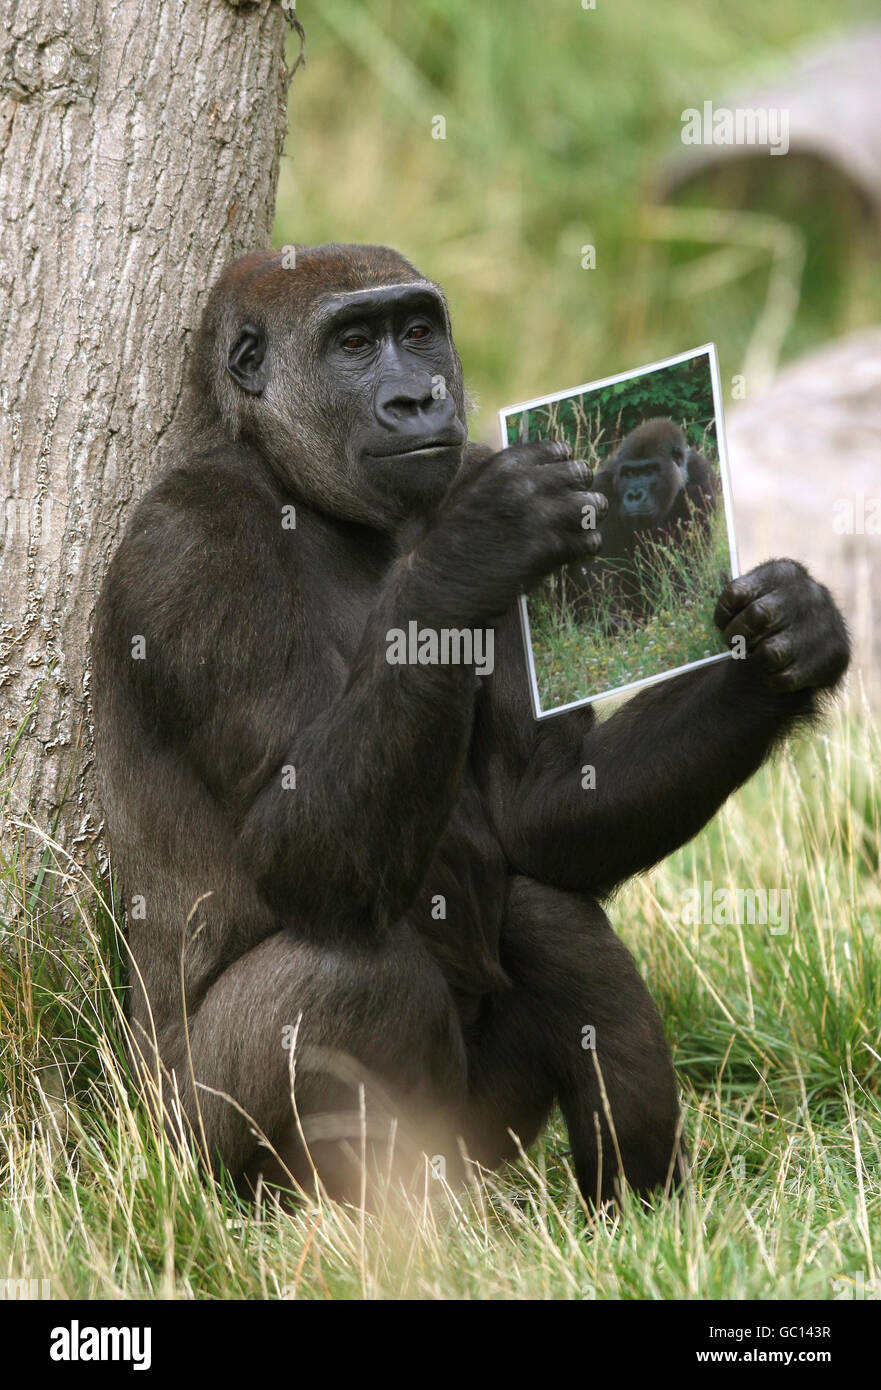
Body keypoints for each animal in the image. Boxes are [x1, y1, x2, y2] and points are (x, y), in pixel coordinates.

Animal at [91, 244, 850, 1212]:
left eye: (417, 331)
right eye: (352, 343)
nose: (417, 399)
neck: (310, 495)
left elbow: (540, 809)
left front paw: (784, 643)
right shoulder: (193, 546)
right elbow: (295, 849)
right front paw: (472, 546)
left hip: (471, 1144)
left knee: (546, 914)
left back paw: (629, 1208)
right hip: (177, 1146)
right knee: (350, 975)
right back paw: (353, 1226)